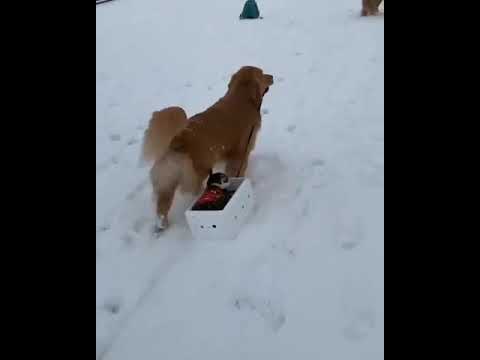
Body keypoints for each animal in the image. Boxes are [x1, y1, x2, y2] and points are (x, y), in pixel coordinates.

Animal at [141, 66, 274, 229]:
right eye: (263, 74)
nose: (272, 76)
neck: (241, 98)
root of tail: (178, 139)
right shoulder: (240, 152)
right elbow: (237, 171)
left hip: (168, 177)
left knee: (162, 205)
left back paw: (161, 225)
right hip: (197, 172)